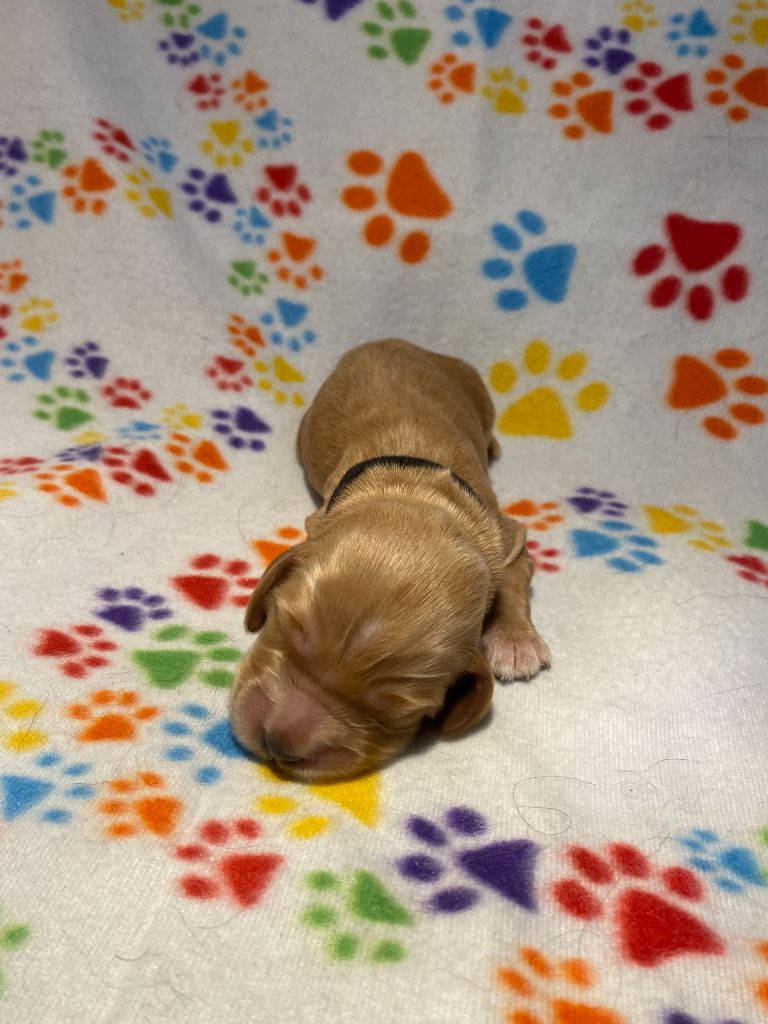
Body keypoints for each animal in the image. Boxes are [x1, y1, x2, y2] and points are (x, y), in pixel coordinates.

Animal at [230, 340, 550, 781]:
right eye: (284, 626)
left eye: (394, 711)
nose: (275, 743)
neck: (416, 494)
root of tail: (391, 341)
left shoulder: (508, 534)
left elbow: (514, 579)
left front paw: (516, 641)